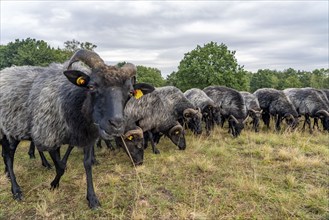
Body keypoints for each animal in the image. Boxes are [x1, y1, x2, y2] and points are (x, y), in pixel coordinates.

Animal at [0, 49, 154, 209]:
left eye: (130, 92)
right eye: (91, 86)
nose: (116, 124)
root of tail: (6, 70)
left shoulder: (85, 137)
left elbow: (87, 164)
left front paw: (92, 199)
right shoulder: (49, 135)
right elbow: (61, 165)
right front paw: (53, 184)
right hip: (10, 129)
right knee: (8, 156)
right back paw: (16, 190)